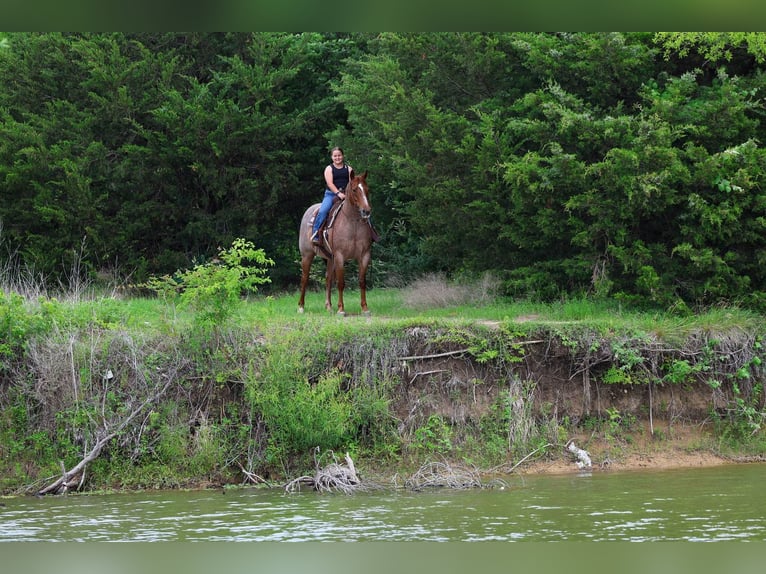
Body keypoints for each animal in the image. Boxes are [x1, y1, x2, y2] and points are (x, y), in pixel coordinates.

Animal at [298, 171, 373, 315]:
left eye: (367, 189)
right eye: (354, 190)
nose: (366, 211)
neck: (353, 223)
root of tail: (308, 210)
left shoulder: (364, 255)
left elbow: (362, 281)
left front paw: (365, 308)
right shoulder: (340, 256)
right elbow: (341, 283)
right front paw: (341, 309)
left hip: (330, 258)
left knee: (328, 279)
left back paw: (328, 306)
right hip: (307, 255)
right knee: (304, 278)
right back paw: (301, 307)